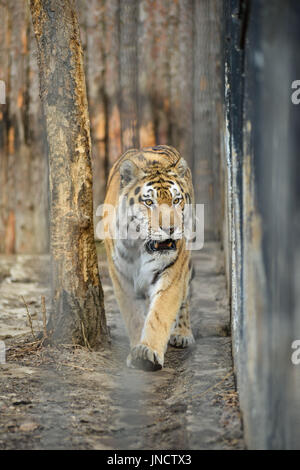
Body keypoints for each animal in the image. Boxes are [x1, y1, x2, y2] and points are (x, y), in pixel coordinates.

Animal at [103, 144, 196, 370]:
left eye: (176, 200)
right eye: (149, 202)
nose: (170, 229)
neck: (141, 247)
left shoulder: (172, 273)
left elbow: (160, 313)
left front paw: (147, 351)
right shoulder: (122, 277)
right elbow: (134, 316)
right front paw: (138, 351)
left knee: (185, 296)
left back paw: (182, 333)